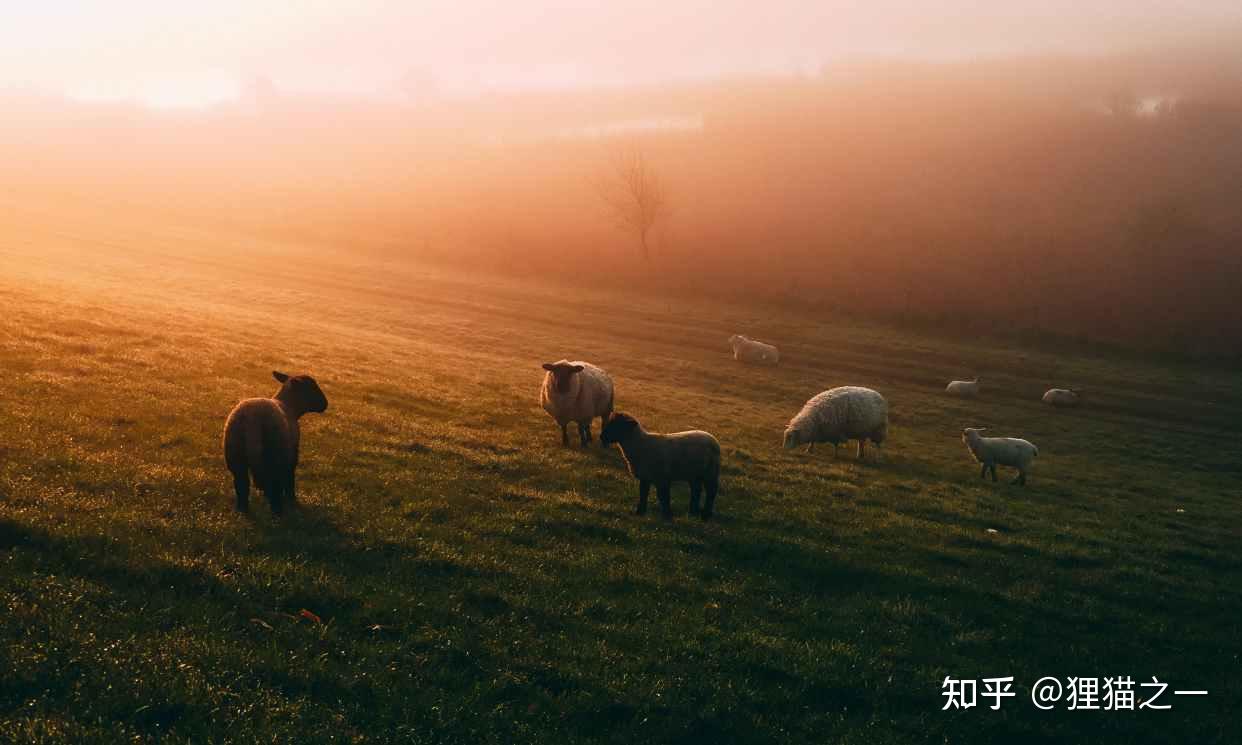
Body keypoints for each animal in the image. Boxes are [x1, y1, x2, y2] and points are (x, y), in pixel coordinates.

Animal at [223, 370, 327, 514]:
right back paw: (278, 511)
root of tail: (252, 420)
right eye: (311, 387)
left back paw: (243, 510)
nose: (325, 404)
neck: (289, 406)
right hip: (274, 455)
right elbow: (290, 477)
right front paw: (292, 499)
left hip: (235, 455)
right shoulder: (292, 453)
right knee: (274, 485)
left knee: (242, 485)